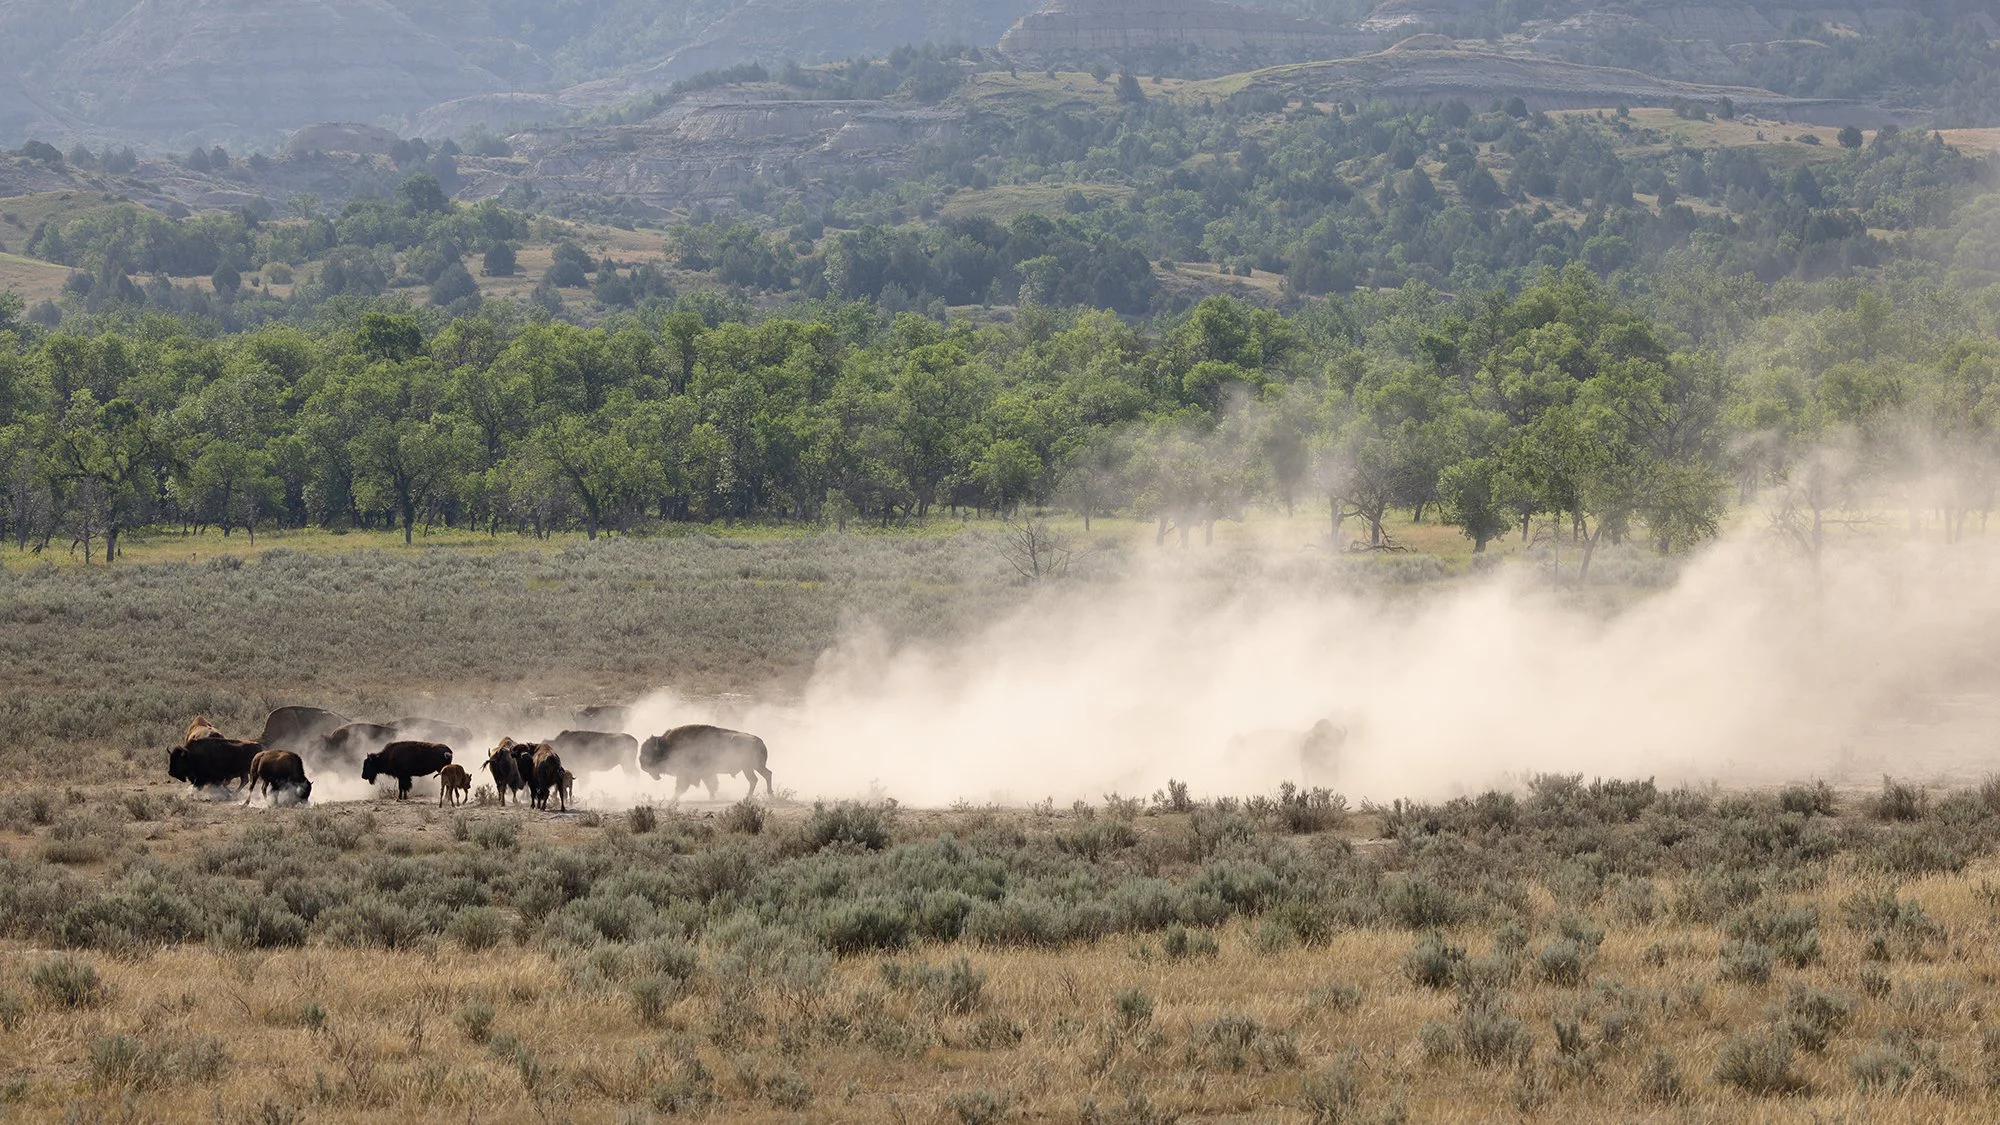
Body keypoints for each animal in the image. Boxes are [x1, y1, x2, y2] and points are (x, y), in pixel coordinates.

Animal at [638, 725, 772, 800]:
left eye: (650, 754)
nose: (642, 765)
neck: (667, 746)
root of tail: (760, 742)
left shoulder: (685, 774)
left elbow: (680, 787)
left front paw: (672, 799)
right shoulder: (706, 774)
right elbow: (710, 785)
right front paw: (711, 798)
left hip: (751, 767)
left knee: (758, 778)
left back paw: (754, 796)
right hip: (752, 768)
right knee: (762, 776)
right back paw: (764, 795)